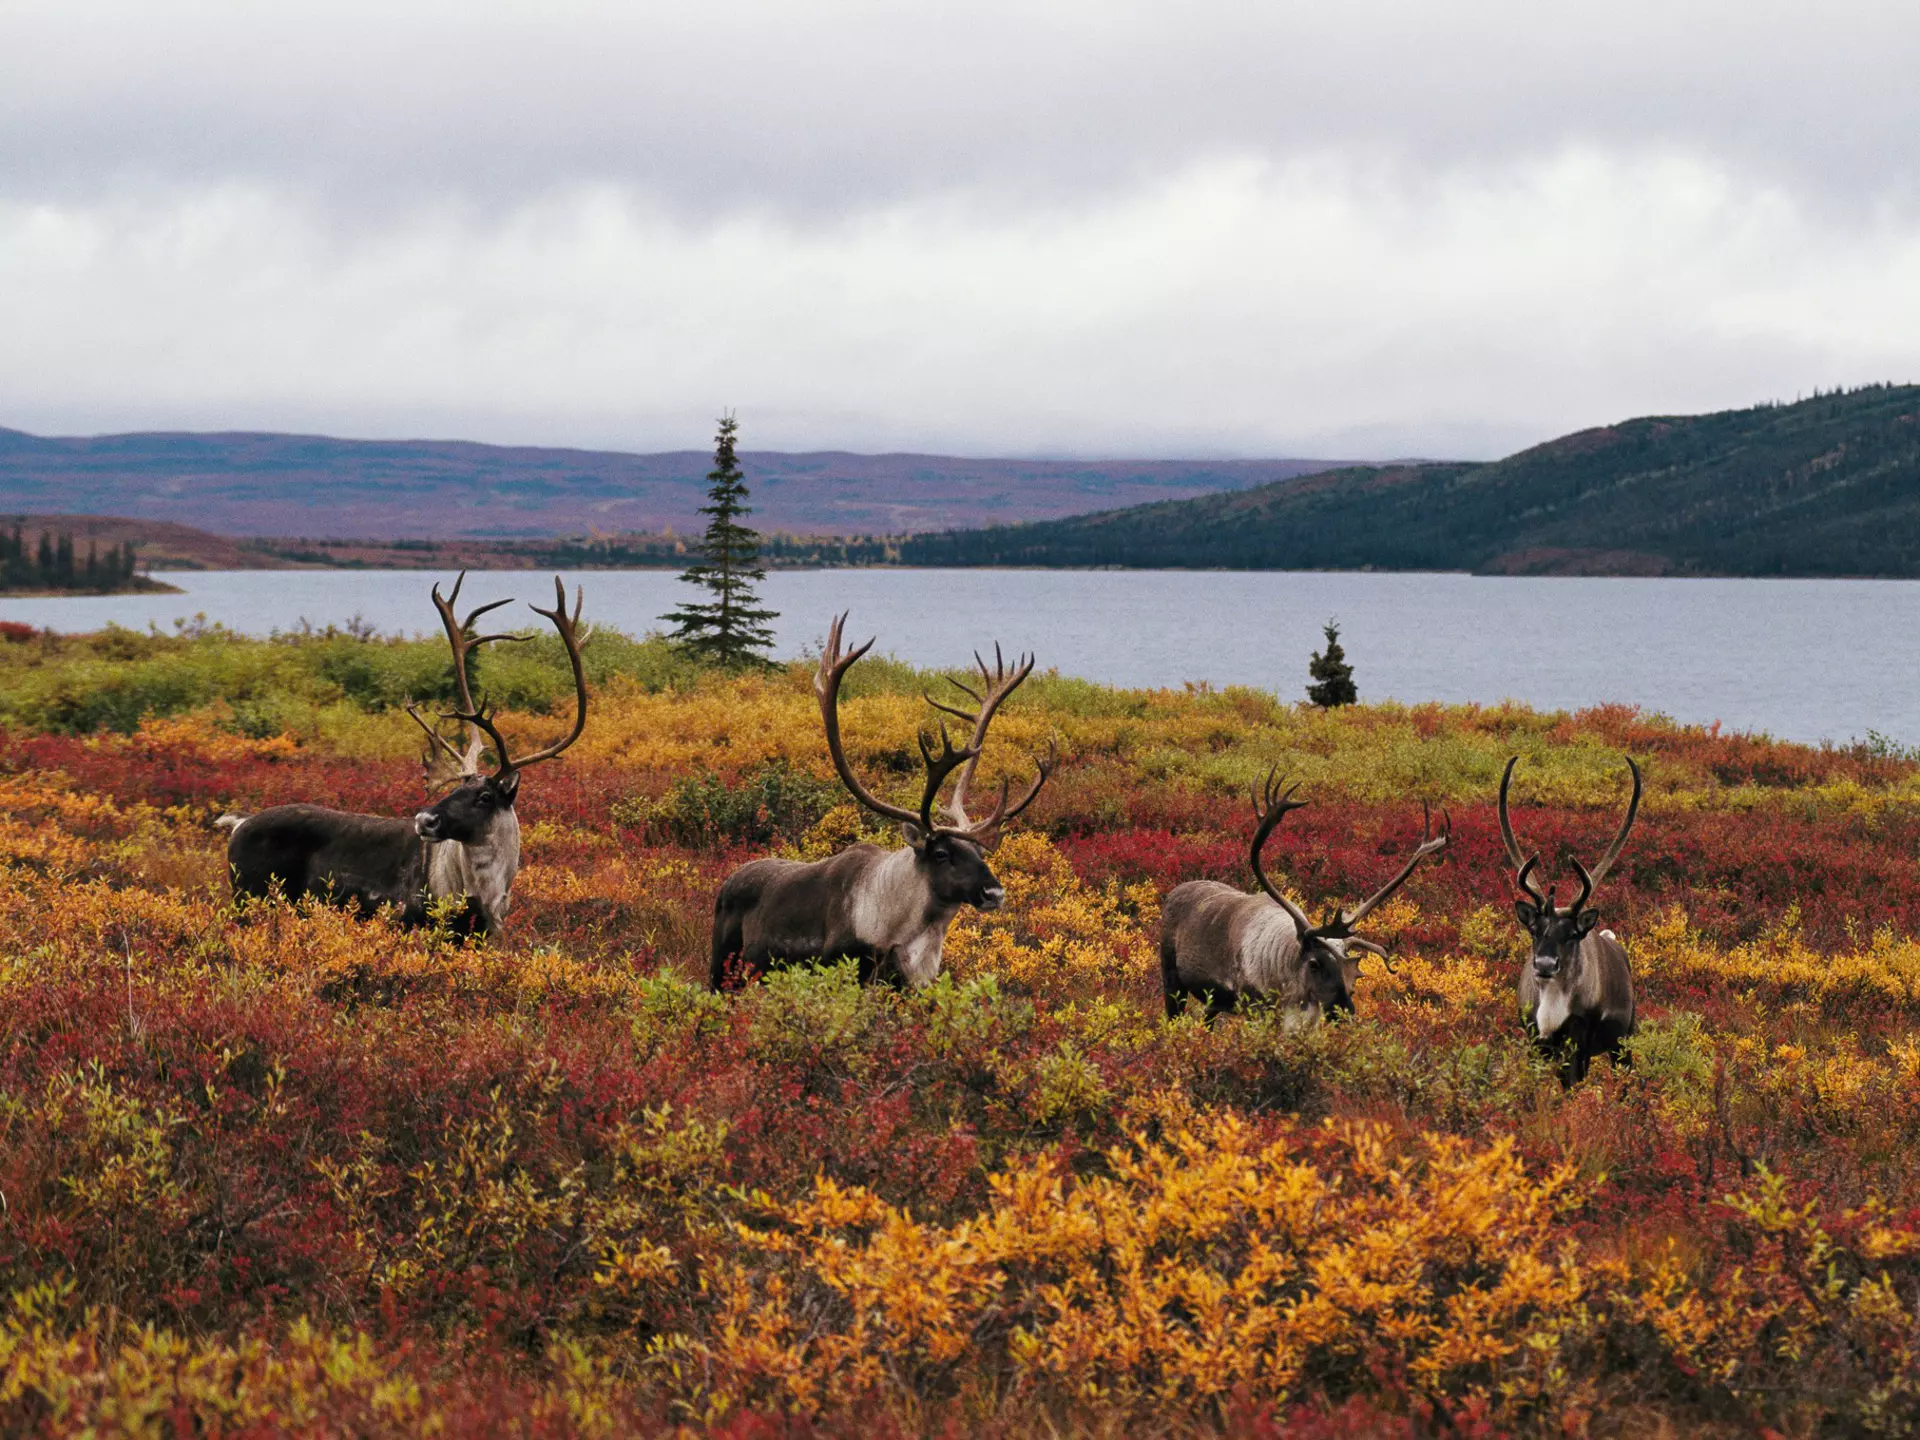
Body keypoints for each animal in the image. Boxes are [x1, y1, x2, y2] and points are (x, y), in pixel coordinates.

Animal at [218, 573, 588, 938]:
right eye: (456, 788)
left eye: (484, 796)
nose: (425, 819)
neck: (487, 896)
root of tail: (238, 823)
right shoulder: (407, 921)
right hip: (248, 898)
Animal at [709, 612, 1054, 991]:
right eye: (941, 853)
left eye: (980, 851)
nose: (994, 893)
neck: (906, 932)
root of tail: (728, 880)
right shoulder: (844, 966)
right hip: (721, 968)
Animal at [1161, 768, 1448, 1024]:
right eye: (1314, 964)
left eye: (1354, 975)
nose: (1345, 1013)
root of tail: (1176, 890)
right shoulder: (1253, 1005)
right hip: (1172, 979)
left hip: (1214, 1002)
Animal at [1497, 754, 1641, 1083]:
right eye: (1533, 929)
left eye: (1573, 934)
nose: (1545, 965)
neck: (1553, 1004)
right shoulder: (1534, 1036)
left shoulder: (1580, 1039)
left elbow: (1573, 1083)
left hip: (1624, 1038)